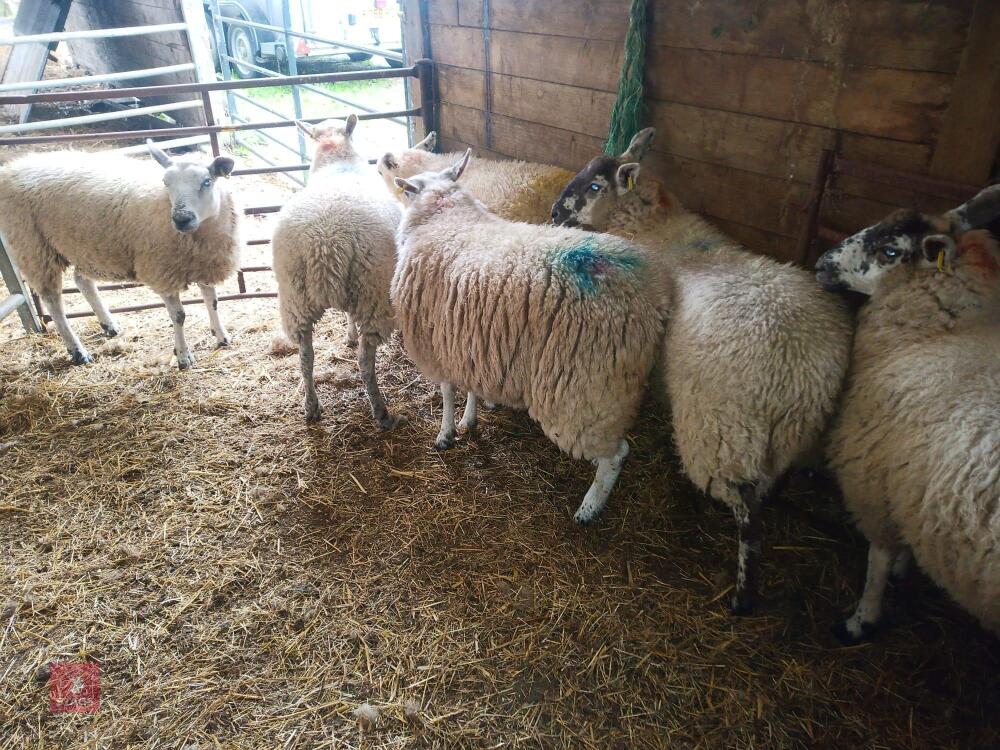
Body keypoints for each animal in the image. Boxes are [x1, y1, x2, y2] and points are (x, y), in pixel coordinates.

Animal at [0, 144, 239, 368]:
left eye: (207, 182)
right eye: (165, 182)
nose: (181, 219)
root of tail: (10, 169)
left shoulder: (206, 264)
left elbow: (213, 302)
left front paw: (221, 336)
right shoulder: (162, 272)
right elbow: (179, 317)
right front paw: (182, 356)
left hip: (85, 247)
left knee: (82, 281)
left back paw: (109, 325)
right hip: (33, 247)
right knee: (53, 301)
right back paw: (78, 351)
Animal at [271, 115, 406, 430]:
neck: (336, 162)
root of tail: (326, 243)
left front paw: (348, 335)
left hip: (295, 297)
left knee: (305, 356)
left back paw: (311, 407)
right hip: (372, 291)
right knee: (365, 362)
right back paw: (382, 413)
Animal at [391, 150, 668, 523]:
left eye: (408, 192)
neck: (445, 214)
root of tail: (651, 297)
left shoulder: (434, 343)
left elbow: (447, 392)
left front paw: (446, 433)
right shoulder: (468, 340)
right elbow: (469, 388)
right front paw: (469, 420)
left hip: (585, 390)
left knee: (617, 453)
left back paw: (589, 507)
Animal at [551, 128, 853, 613]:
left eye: (595, 186)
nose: (554, 212)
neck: (655, 225)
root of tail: (802, 372)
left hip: (725, 429)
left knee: (749, 518)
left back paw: (743, 595)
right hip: (796, 435)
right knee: (774, 483)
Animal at [815, 188, 1000, 643]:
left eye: (889, 251)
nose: (821, 263)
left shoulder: (875, 477)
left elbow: (879, 557)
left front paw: (862, 619)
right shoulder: (912, 483)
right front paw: (906, 566)